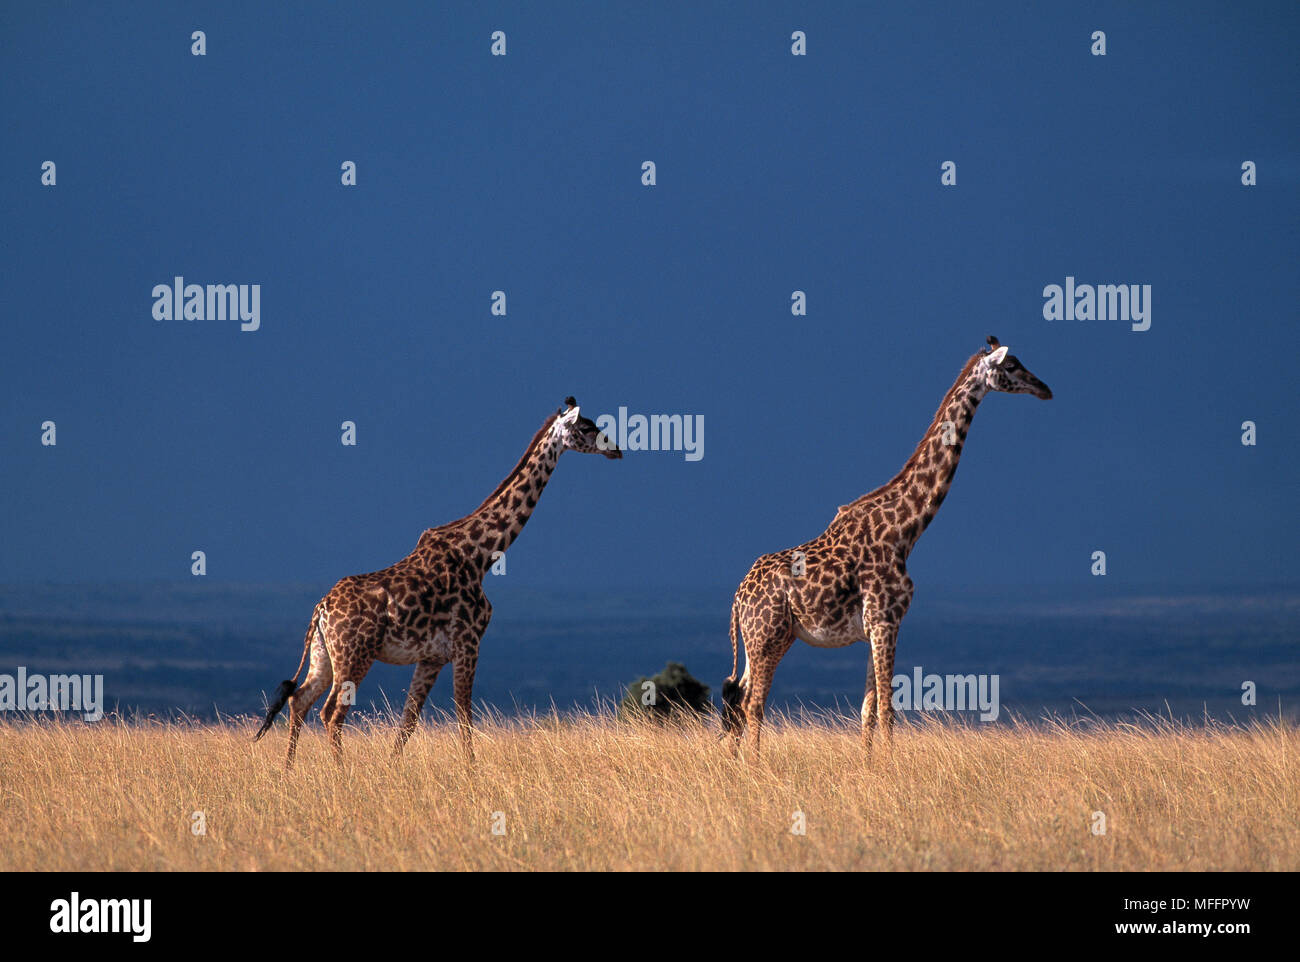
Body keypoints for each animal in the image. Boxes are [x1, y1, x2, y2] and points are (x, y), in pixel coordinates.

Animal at [256, 397, 621, 764]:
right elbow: (464, 717)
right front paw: (472, 771)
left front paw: (394, 768)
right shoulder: (467, 644)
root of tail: (321, 609)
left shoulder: (431, 657)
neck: (480, 555)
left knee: (300, 701)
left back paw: (288, 773)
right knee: (331, 714)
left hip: (323, 656)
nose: (616, 449)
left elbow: (408, 721)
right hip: (354, 655)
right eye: (587, 427)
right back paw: (341, 773)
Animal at [722, 338, 1055, 759]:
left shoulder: (873, 628)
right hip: (768, 636)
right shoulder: (887, 619)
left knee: (737, 700)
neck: (905, 530)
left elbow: (867, 710)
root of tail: (738, 598)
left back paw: (733, 766)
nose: (1045, 388)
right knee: (753, 704)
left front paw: (868, 767)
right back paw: (754, 766)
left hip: (762, 640)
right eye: (1011, 365)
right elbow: (888, 709)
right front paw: (890, 767)